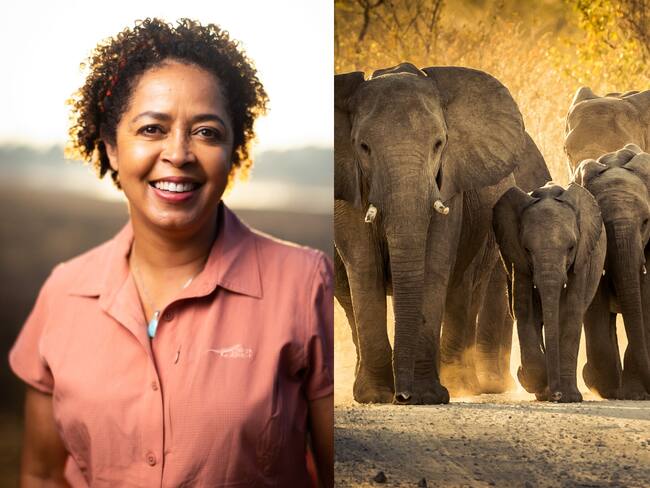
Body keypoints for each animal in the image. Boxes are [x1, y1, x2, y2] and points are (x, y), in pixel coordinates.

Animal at [334, 62, 548, 404]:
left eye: (438, 144)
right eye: (363, 148)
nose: (402, 397)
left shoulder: (449, 188)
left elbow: (434, 267)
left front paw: (426, 396)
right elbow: (365, 267)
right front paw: (376, 396)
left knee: (464, 290)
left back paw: (461, 384)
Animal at [493, 182, 606, 402]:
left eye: (571, 247)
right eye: (527, 250)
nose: (557, 395)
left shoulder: (582, 257)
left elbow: (571, 311)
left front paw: (569, 398)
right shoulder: (517, 258)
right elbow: (524, 309)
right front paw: (531, 379)